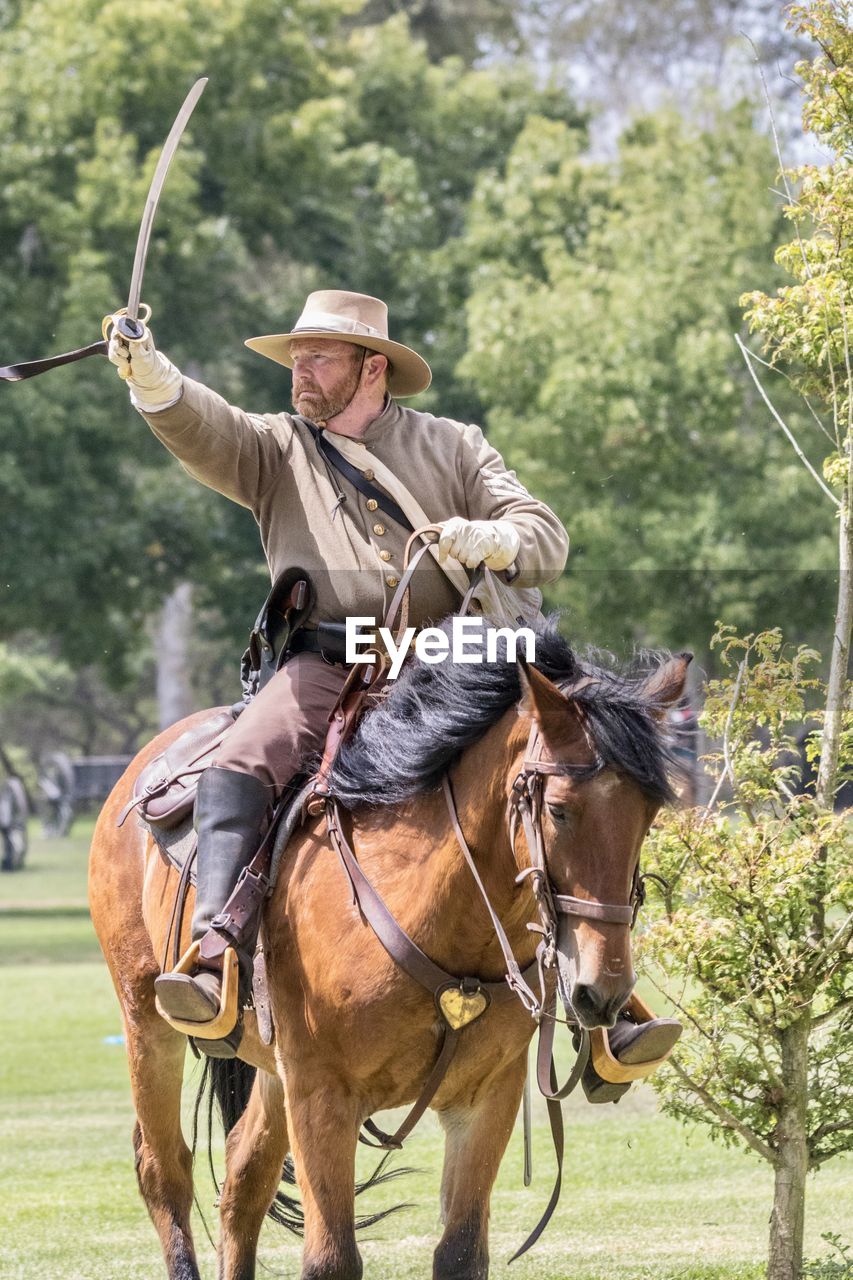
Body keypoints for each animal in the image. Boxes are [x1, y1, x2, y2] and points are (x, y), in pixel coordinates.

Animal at [87, 622, 686, 1280]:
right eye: (558, 809)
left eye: (649, 815)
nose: (602, 992)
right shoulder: (323, 1098)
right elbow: (331, 1259)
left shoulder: (486, 1100)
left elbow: (460, 1252)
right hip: (147, 1023)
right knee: (164, 1170)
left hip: (271, 1069)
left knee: (244, 1178)